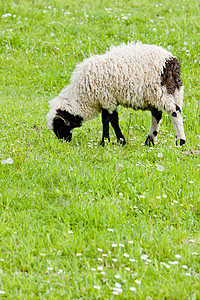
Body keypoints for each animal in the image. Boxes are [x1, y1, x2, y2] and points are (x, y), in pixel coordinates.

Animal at [47, 42, 186, 146]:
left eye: (60, 127)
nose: (64, 141)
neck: (82, 97)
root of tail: (171, 61)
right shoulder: (109, 100)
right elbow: (111, 120)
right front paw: (116, 141)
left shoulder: (106, 98)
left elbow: (108, 120)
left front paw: (108, 142)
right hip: (169, 92)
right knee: (157, 115)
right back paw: (149, 141)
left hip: (161, 91)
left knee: (175, 112)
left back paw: (180, 141)